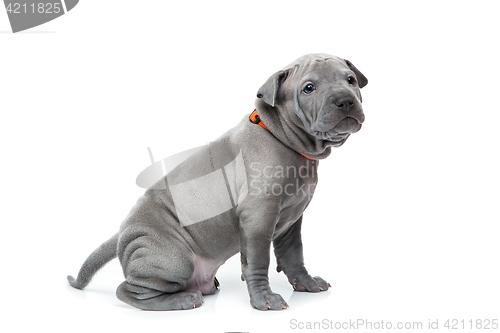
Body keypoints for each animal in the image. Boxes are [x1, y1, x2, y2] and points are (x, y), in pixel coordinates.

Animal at [67, 53, 368, 310]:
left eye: (350, 80)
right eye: (309, 88)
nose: (345, 101)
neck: (283, 137)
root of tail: (121, 234)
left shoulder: (292, 220)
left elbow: (294, 254)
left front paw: (306, 283)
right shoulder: (258, 216)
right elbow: (258, 261)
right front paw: (264, 300)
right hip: (171, 258)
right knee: (129, 291)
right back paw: (182, 299)